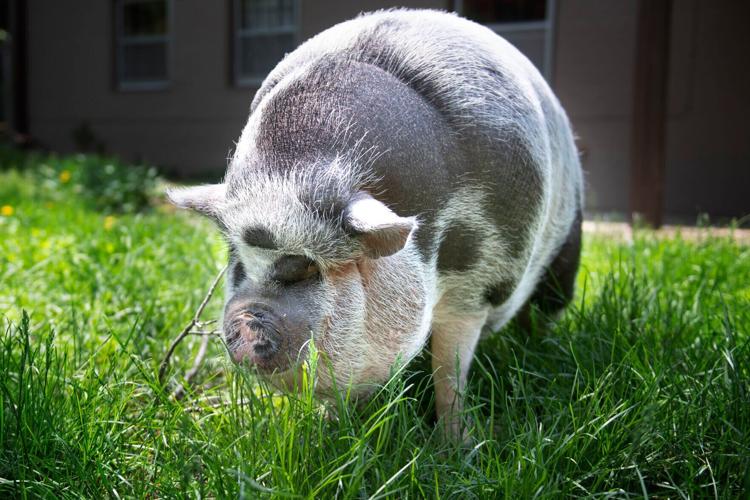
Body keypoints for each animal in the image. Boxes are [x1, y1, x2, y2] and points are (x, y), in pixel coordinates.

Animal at [168, 9, 583, 437]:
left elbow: (450, 369)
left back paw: (540, 348)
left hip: (567, 246)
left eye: (304, 267)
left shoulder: (478, 283)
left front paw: (459, 443)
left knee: (548, 306)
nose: (247, 319)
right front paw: (335, 428)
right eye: (238, 262)